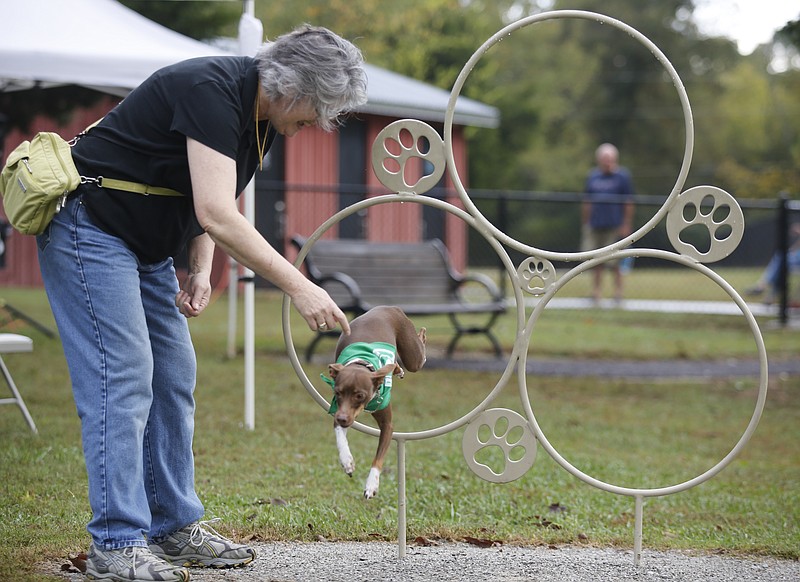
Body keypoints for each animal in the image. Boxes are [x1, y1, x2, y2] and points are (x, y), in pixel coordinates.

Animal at [324, 308, 428, 500]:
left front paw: (371, 484)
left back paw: (421, 335)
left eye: (360, 395)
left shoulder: (387, 425)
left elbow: (378, 457)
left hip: (413, 357)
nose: (342, 418)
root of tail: (386, 307)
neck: (361, 363)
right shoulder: (340, 412)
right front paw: (347, 461)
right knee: (394, 364)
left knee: (419, 351)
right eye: (337, 393)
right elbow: (341, 438)